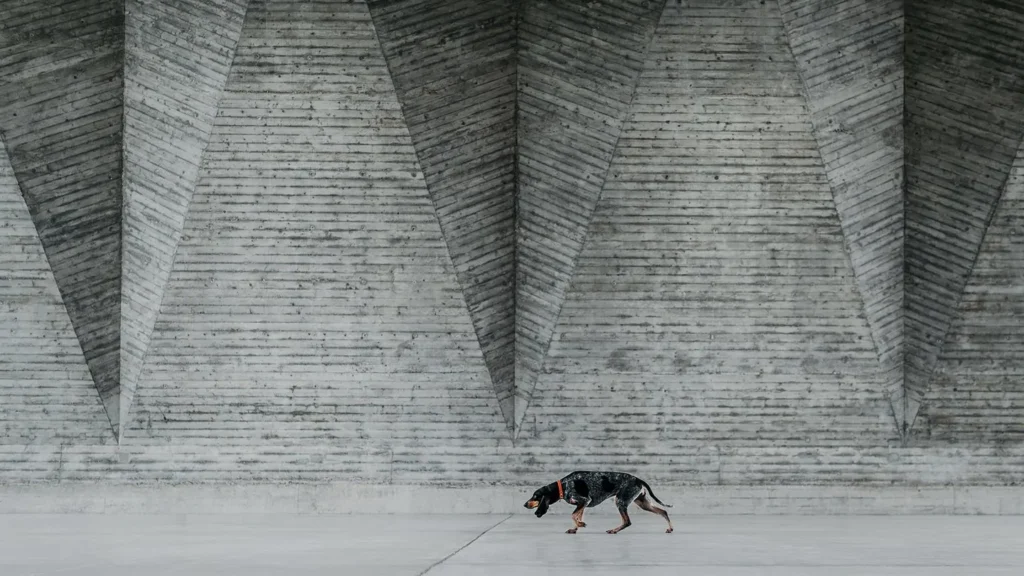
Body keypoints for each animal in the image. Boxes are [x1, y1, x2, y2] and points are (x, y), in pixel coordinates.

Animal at [524, 469, 675, 532]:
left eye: (535, 496)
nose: (525, 504)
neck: (564, 486)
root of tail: (638, 479)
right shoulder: (583, 504)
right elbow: (577, 516)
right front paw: (576, 528)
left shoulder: (584, 500)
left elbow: (573, 515)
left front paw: (581, 525)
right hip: (642, 503)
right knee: (663, 511)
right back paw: (670, 528)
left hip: (620, 501)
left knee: (627, 522)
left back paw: (614, 530)